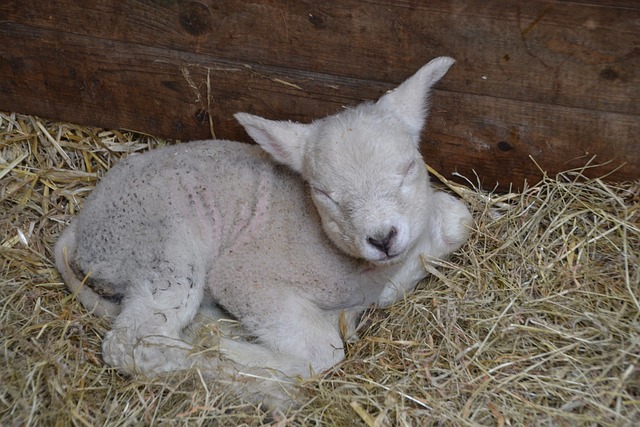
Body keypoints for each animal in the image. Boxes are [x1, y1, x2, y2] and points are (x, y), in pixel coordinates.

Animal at [55, 55, 472, 406]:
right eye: (322, 192)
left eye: (409, 168)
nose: (382, 238)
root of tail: (81, 225)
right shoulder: (244, 275)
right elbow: (321, 349)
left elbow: (459, 219)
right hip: (160, 245)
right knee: (136, 343)